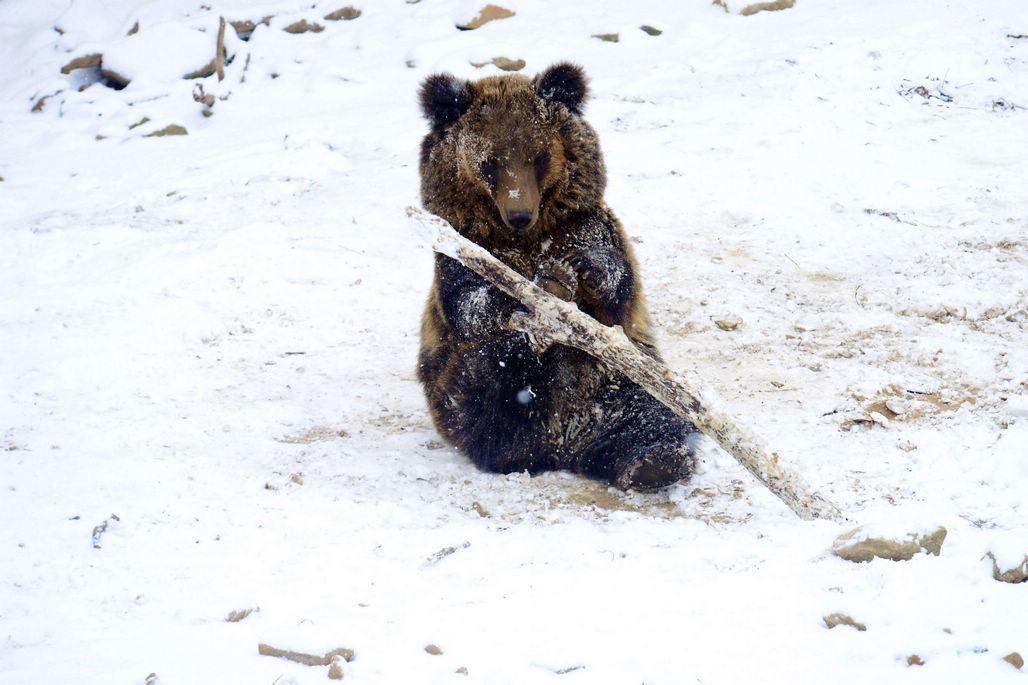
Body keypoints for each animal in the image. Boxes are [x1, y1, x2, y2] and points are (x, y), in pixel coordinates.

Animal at [417, 64, 699, 487]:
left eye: (537, 157)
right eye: (490, 162)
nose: (519, 213)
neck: (526, 241)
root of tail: (564, 442)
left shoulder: (587, 226)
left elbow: (619, 284)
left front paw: (582, 266)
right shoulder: (457, 248)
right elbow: (469, 302)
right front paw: (519, 292)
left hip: (617, 384)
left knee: (651, 412)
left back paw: (654, 461)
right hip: (452, 392)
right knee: (485, 388)